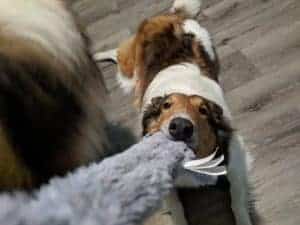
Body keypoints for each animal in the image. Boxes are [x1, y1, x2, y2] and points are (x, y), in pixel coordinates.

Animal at [95, 0, 254, 225]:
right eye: (166, 105)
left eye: (203, 110)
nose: (180, 127)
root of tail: (174, 17)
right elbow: (177, 208)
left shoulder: (237, 161)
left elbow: (236, 200)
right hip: (130, 72)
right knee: (118, 54)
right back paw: (94, 54)